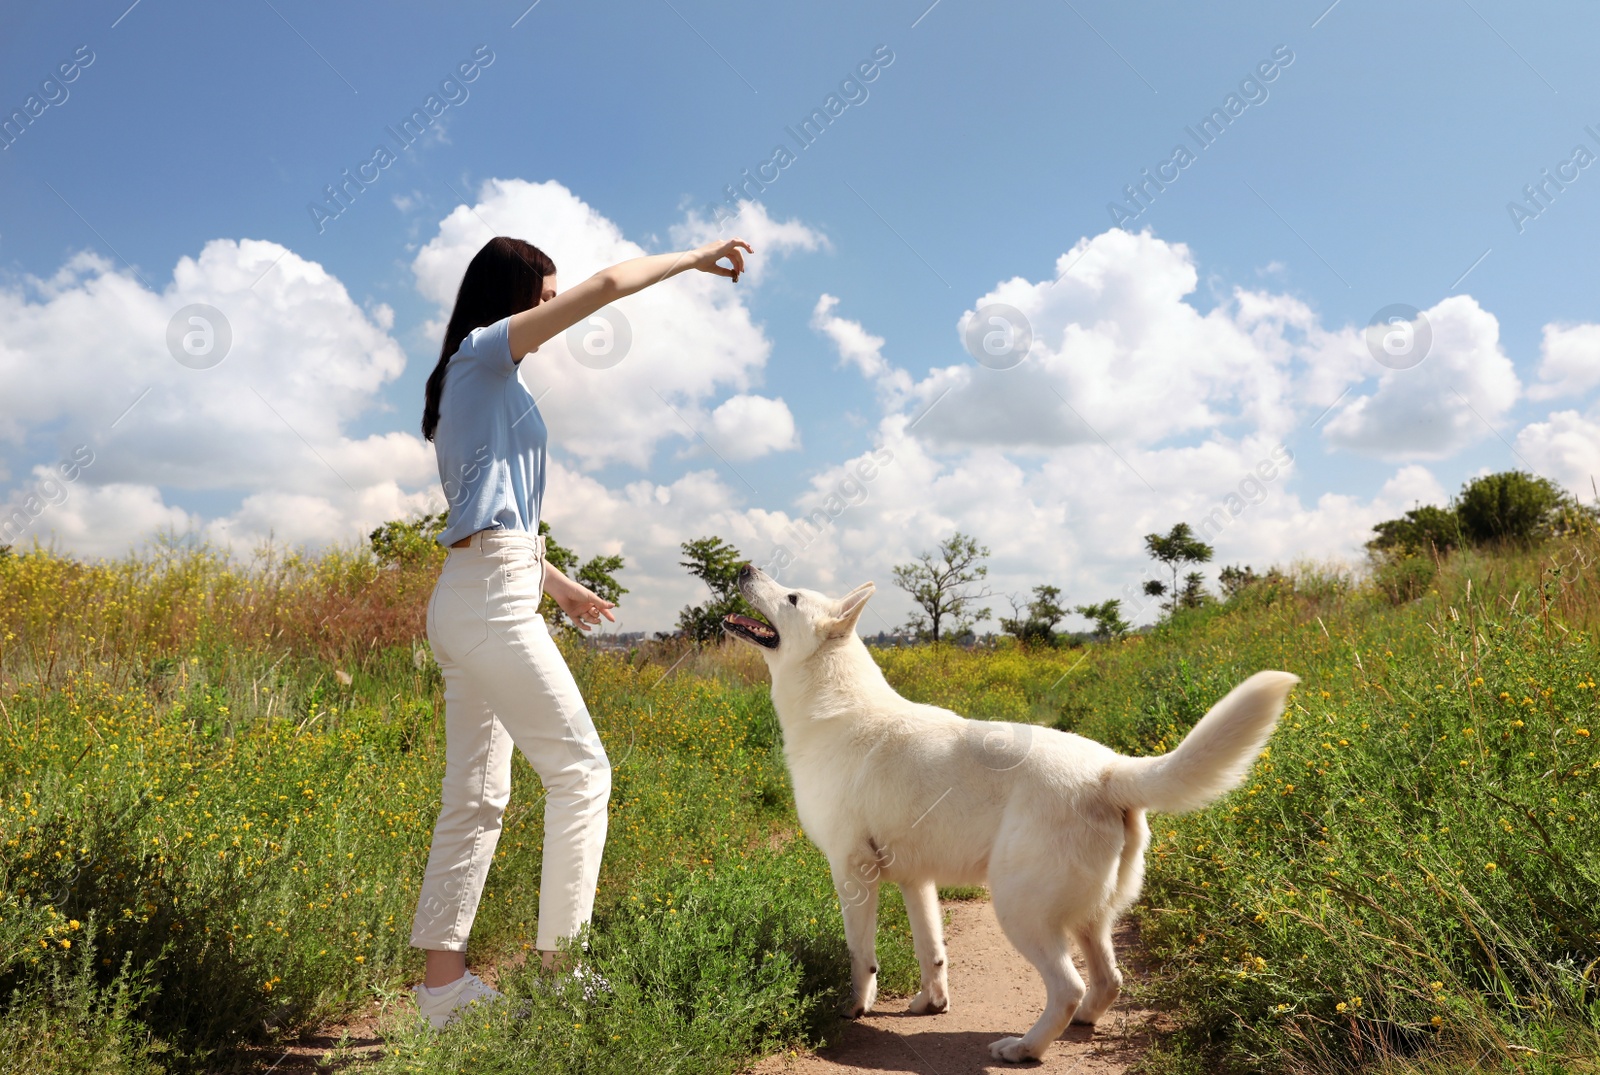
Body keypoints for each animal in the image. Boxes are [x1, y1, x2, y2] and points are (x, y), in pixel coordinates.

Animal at [726, 566, 1299, 1062]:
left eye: (792, 597)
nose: (745, 567)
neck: (834, 704)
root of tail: (1109, 769)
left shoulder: (852, 871)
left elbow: (859, 956)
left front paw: (855, 1008)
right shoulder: (916, 881)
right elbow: (931, 950)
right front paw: (931, 1004)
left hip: (1020, 911)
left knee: (1068, 987)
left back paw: (1023, 1049)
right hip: (1089, 919)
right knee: (1107, 981)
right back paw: (1079, 1024)